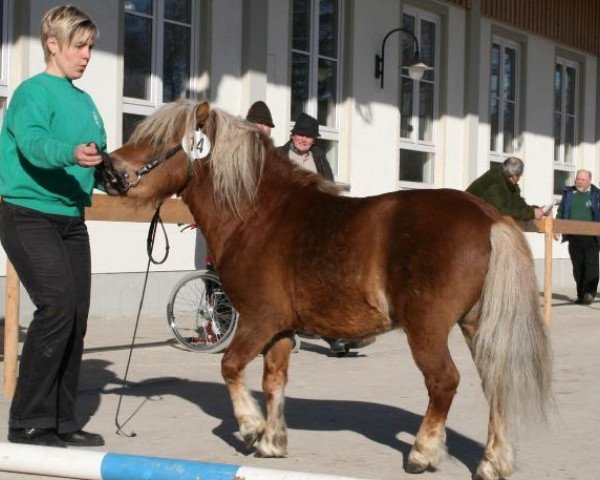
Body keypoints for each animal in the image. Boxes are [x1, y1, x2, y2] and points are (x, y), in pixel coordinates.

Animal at [101, 99, 552, 478]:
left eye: (158, 140)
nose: (108, 170)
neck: (258, 216)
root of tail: (488, 217)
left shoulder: (258, 321)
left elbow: (229, 366)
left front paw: (250, 427)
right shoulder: (281, 330)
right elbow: (273, 381)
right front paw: (272, 441)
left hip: (427, 328)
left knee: (444, 382)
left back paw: (423, 453)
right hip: (477, 324)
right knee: (495, 382)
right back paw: (493, 462)